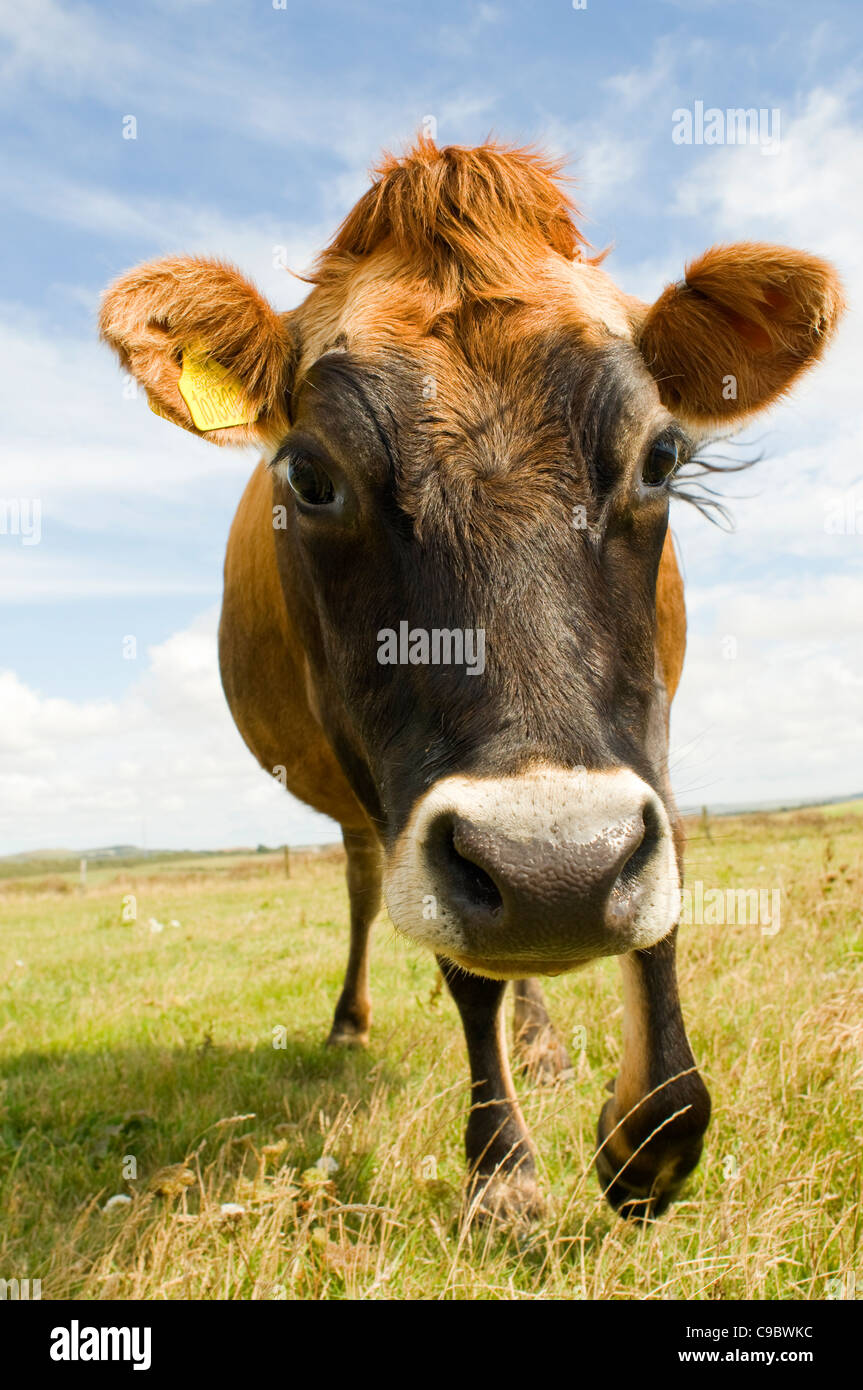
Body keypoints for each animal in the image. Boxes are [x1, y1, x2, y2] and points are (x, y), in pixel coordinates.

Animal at [100, 141, 839, 1223]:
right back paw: (354, 1023)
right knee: (370, 893)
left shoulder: (646, 723)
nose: (551, 872)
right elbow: (463, 974)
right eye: (308, 476)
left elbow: (660, 893)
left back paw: (539, 1040)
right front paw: (502, 1171)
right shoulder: (387, 779)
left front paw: (647, 1137)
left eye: (661, 456)